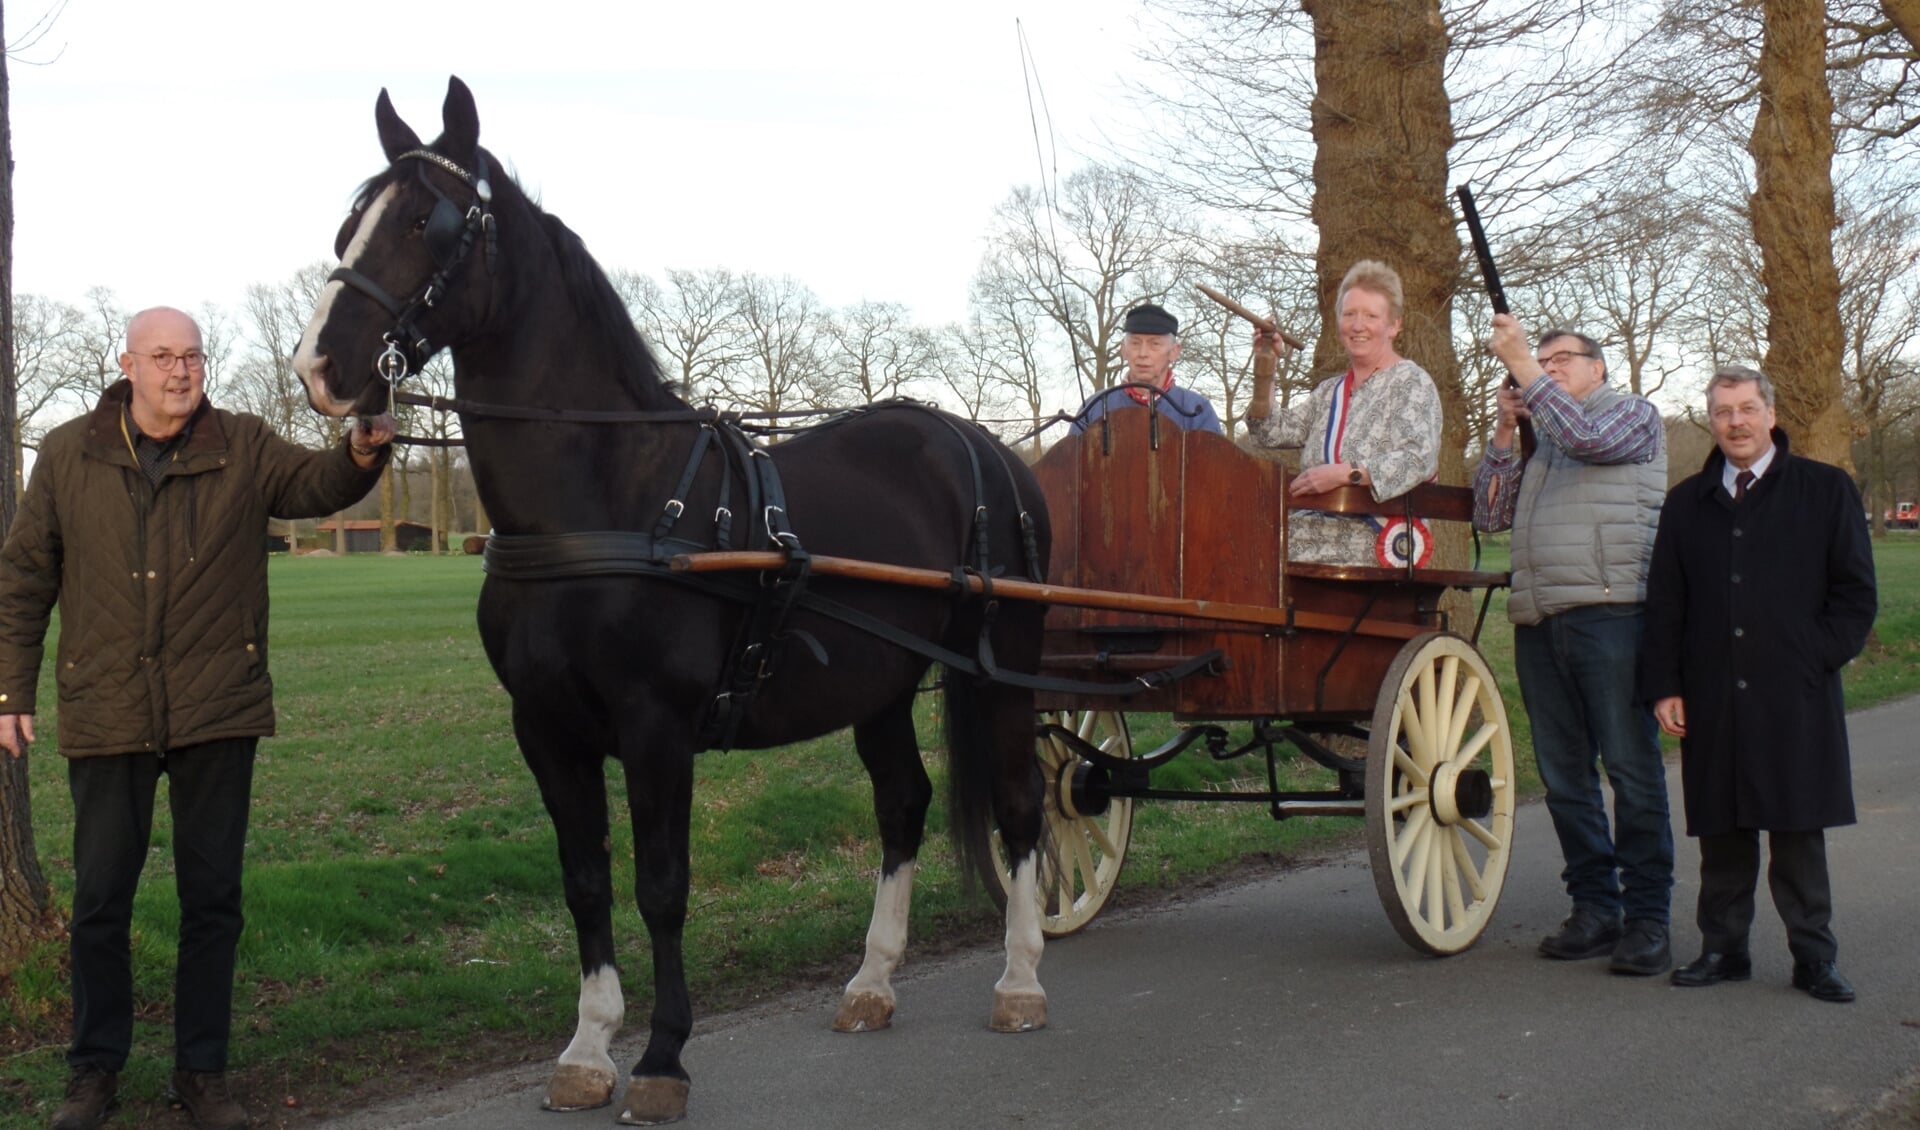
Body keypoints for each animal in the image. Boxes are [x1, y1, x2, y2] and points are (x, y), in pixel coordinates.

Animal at [291, 77, 1059, 1120]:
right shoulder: (547, 730)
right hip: (883, 687)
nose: (321, 367)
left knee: (1020, 805)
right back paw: (872, 981)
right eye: (349, 223)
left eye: (427, 221)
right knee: (903, 804)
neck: (607, 499)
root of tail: (983, 446)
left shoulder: (656, 727)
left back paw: (1020, 978)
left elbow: (662, 885)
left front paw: (661, 1056)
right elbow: (585, 880)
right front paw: (587, 1047)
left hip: (1001, 670)